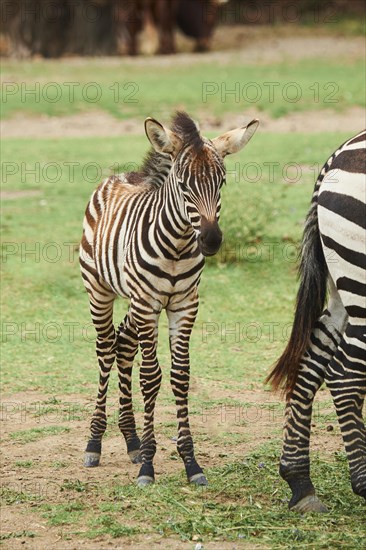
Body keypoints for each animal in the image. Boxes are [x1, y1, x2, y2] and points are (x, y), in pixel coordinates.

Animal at [79, 112, 258, 488]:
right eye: (183, 183)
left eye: (221, 182)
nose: (211, 240)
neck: (176, 245)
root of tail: (125, 175)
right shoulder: (148, 304)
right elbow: (151, 378)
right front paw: (148, 465)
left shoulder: (184, 304)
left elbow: (179, 375)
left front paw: (190, 462)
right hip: (100, 291)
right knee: (105, 350)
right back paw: (95, 442)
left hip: (134, 301)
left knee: (123, 344)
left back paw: (131, 440)